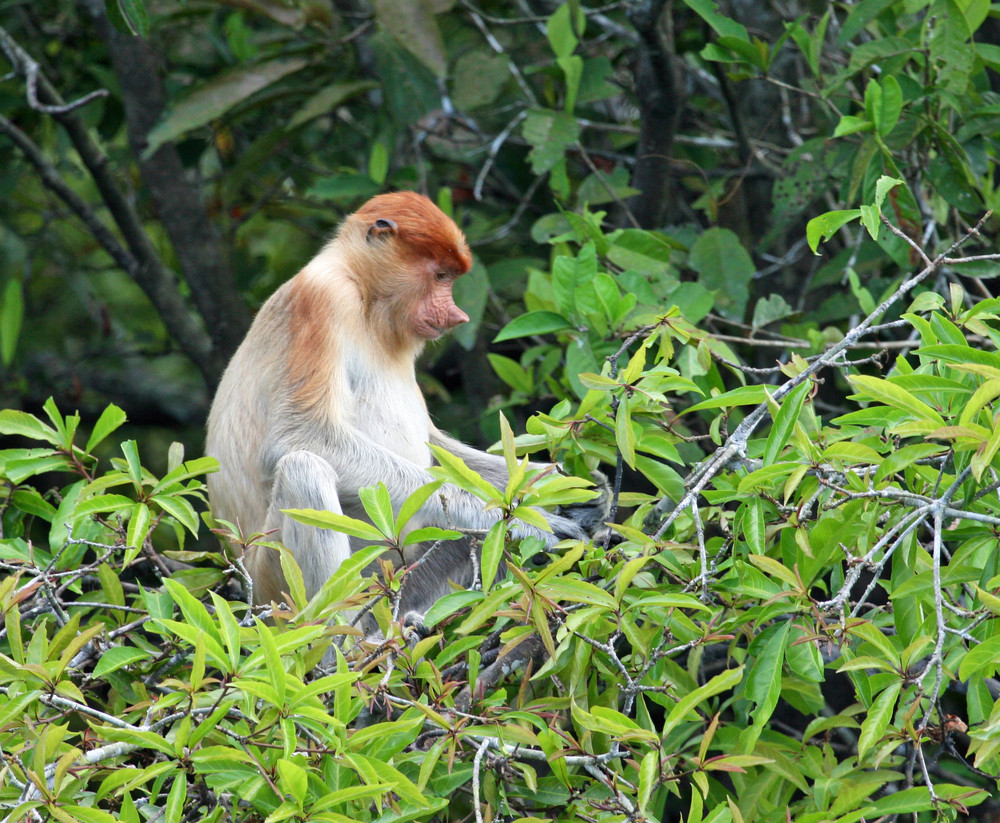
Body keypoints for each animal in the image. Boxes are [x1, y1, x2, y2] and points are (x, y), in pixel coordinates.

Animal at [207, 192, 604, 632]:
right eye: (440, 275)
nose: (458, 316)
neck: (365, 299)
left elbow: (437, 446)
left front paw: (578, 489)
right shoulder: (321, 300)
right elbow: (298, 434)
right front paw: (523, 522)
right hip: (278, 585)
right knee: (302, 470)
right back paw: (345, 642)